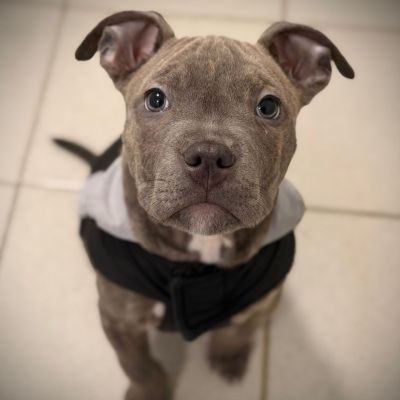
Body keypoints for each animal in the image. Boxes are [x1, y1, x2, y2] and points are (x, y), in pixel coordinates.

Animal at [55, 10, 354, 400]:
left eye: (269, 107)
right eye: (155, 99)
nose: (210, 155)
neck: (201, 249)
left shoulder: (262, 300)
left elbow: (240, 329)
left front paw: (229, 356)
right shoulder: (119, 318)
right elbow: (138, 365)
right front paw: (149, 391)